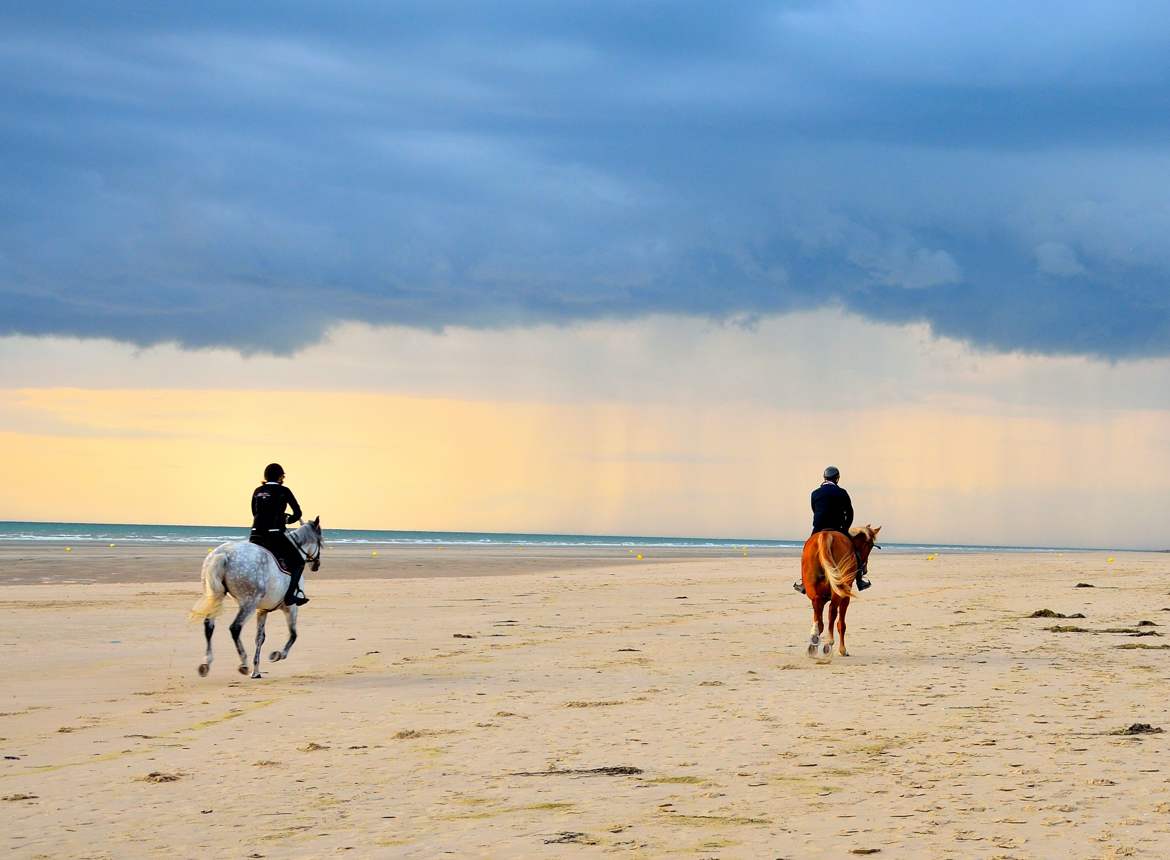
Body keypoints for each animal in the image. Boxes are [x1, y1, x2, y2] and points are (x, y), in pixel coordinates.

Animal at [189, 517, 322, 678]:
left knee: (209, 626)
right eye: (320, 541)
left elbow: (260, 638)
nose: (317, 565)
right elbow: (293, 635)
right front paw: (277, 655)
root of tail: (224, 554)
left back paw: (206, 664)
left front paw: (256, 671)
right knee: (235, 628)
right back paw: (243, 663)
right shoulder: (291, 607)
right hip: (249, 603)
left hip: (217, 596)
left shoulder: (262, 611)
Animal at [800, 524, 879, 659]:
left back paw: (813, 643)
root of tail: (826, 535)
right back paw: (829, 643)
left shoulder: (820, 597)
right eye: (870, 545)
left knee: (820, 615)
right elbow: (841, 624)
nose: (865, 569)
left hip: (815, 593)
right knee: (832, 611)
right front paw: (843, 650)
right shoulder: (846, 597)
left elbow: (820, 621)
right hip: (839, 591)